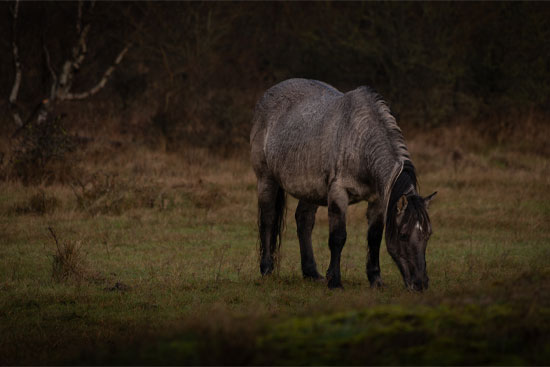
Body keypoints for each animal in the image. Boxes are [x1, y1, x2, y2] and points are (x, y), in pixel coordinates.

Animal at [252, 79, 438, 292]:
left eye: (428, 234)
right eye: (404, 235)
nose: (420, 284)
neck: (360, 140)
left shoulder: (377, 200)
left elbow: (374, 237)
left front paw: (375, 280)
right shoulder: (338, 193)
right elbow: (338, 237)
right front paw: (335, 281)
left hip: (310, 189)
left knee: (304, 221)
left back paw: (311, 273)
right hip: (266, 179)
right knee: (268, 220)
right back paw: (267, 269)